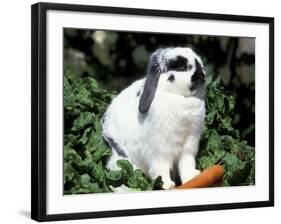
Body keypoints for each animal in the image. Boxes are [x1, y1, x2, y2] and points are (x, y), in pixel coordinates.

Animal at [100, 47, 206, 189]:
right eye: (181, 67)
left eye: (200, 64)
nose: (202, 76)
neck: (179, 97)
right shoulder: (160, 151)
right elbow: (161, 168)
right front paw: (167, 185)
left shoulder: (188, 147)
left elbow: (186, 164)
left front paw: (192, 178)